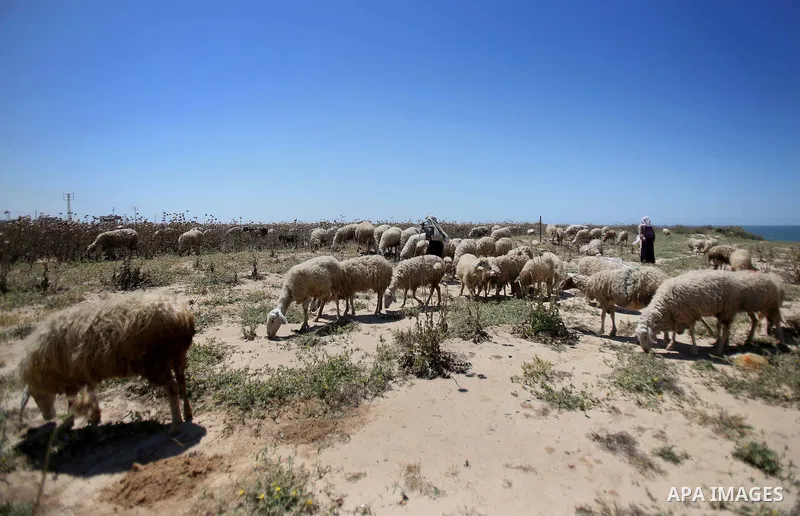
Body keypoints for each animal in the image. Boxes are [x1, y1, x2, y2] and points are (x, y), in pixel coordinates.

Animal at [18, 293, 195, 435]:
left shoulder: (72, 375)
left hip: (155, 363)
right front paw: (95, 416)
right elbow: (90, 393)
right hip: (176, 355)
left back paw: (175, 426)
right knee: (181, 382)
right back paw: (187, 414)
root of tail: (180, 315)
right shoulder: (85, 371)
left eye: (36, 395)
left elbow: (72, 401)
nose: (48, 417)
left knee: (171, 387)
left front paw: (69, 423)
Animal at [635, 270, 784, 355]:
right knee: (733, 325)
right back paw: (723, 343)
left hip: (734, 309)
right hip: (725, 311)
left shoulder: (688, 314)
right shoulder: (678, 315)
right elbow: (674, 332)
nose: (645, 351)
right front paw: (671, 344)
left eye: (645, 336)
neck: (665, 303)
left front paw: (694, 349)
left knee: (728, 329)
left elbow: (691, 332)